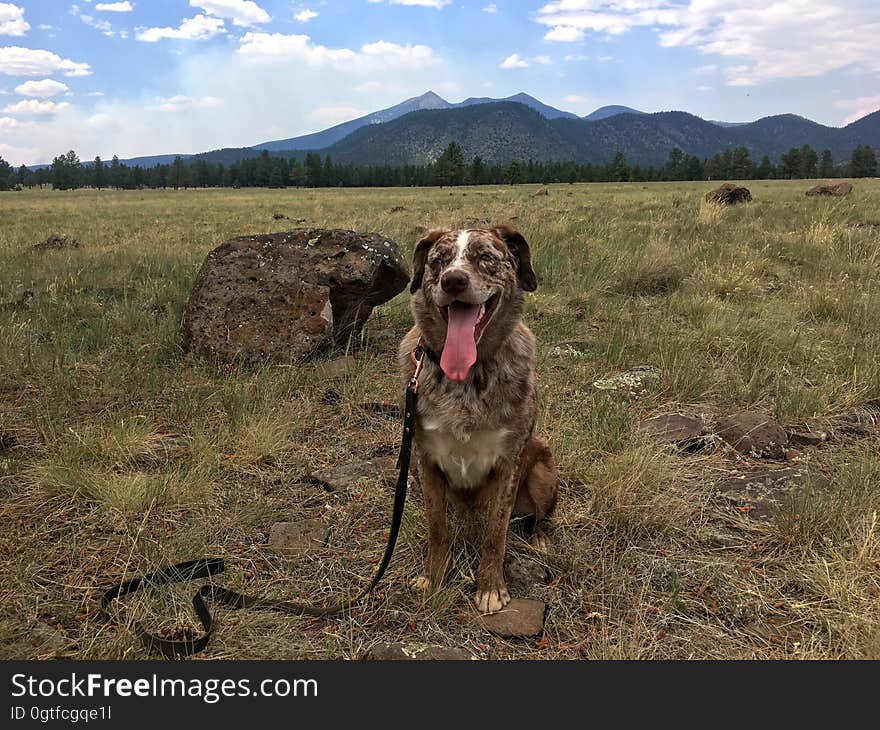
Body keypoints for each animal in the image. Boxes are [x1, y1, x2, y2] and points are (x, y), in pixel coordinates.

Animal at [398, 225, 556, 612]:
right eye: (438, 261)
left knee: (537, 518)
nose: (453, 280)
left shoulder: (508, 463)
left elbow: (495, 533)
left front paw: (490, 588)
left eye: (485, 257)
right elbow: (437, 529)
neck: (467, 375)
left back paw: (540, 539)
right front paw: (435, 578)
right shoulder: (425, 462)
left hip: (543, 467)